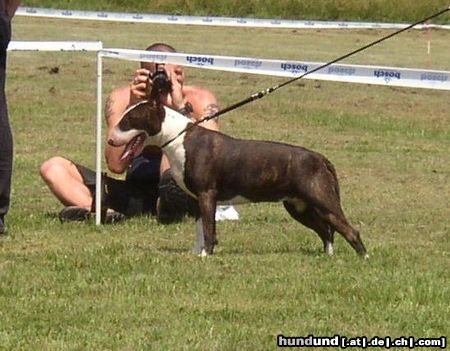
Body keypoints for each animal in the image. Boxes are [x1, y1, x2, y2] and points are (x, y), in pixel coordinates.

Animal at [107, 99, 368, 258]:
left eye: (128, 121)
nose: (110, 140)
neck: (179, 137)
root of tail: (321, 158)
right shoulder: (197, 199)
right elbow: (200, 227)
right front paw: (196, 252)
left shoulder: (207, 195)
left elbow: (209, 229)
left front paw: (206, 254)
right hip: (298, 206)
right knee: (326, 231)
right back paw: (328, 256)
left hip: (323, 201)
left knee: (348, 230)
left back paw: (363, 258)